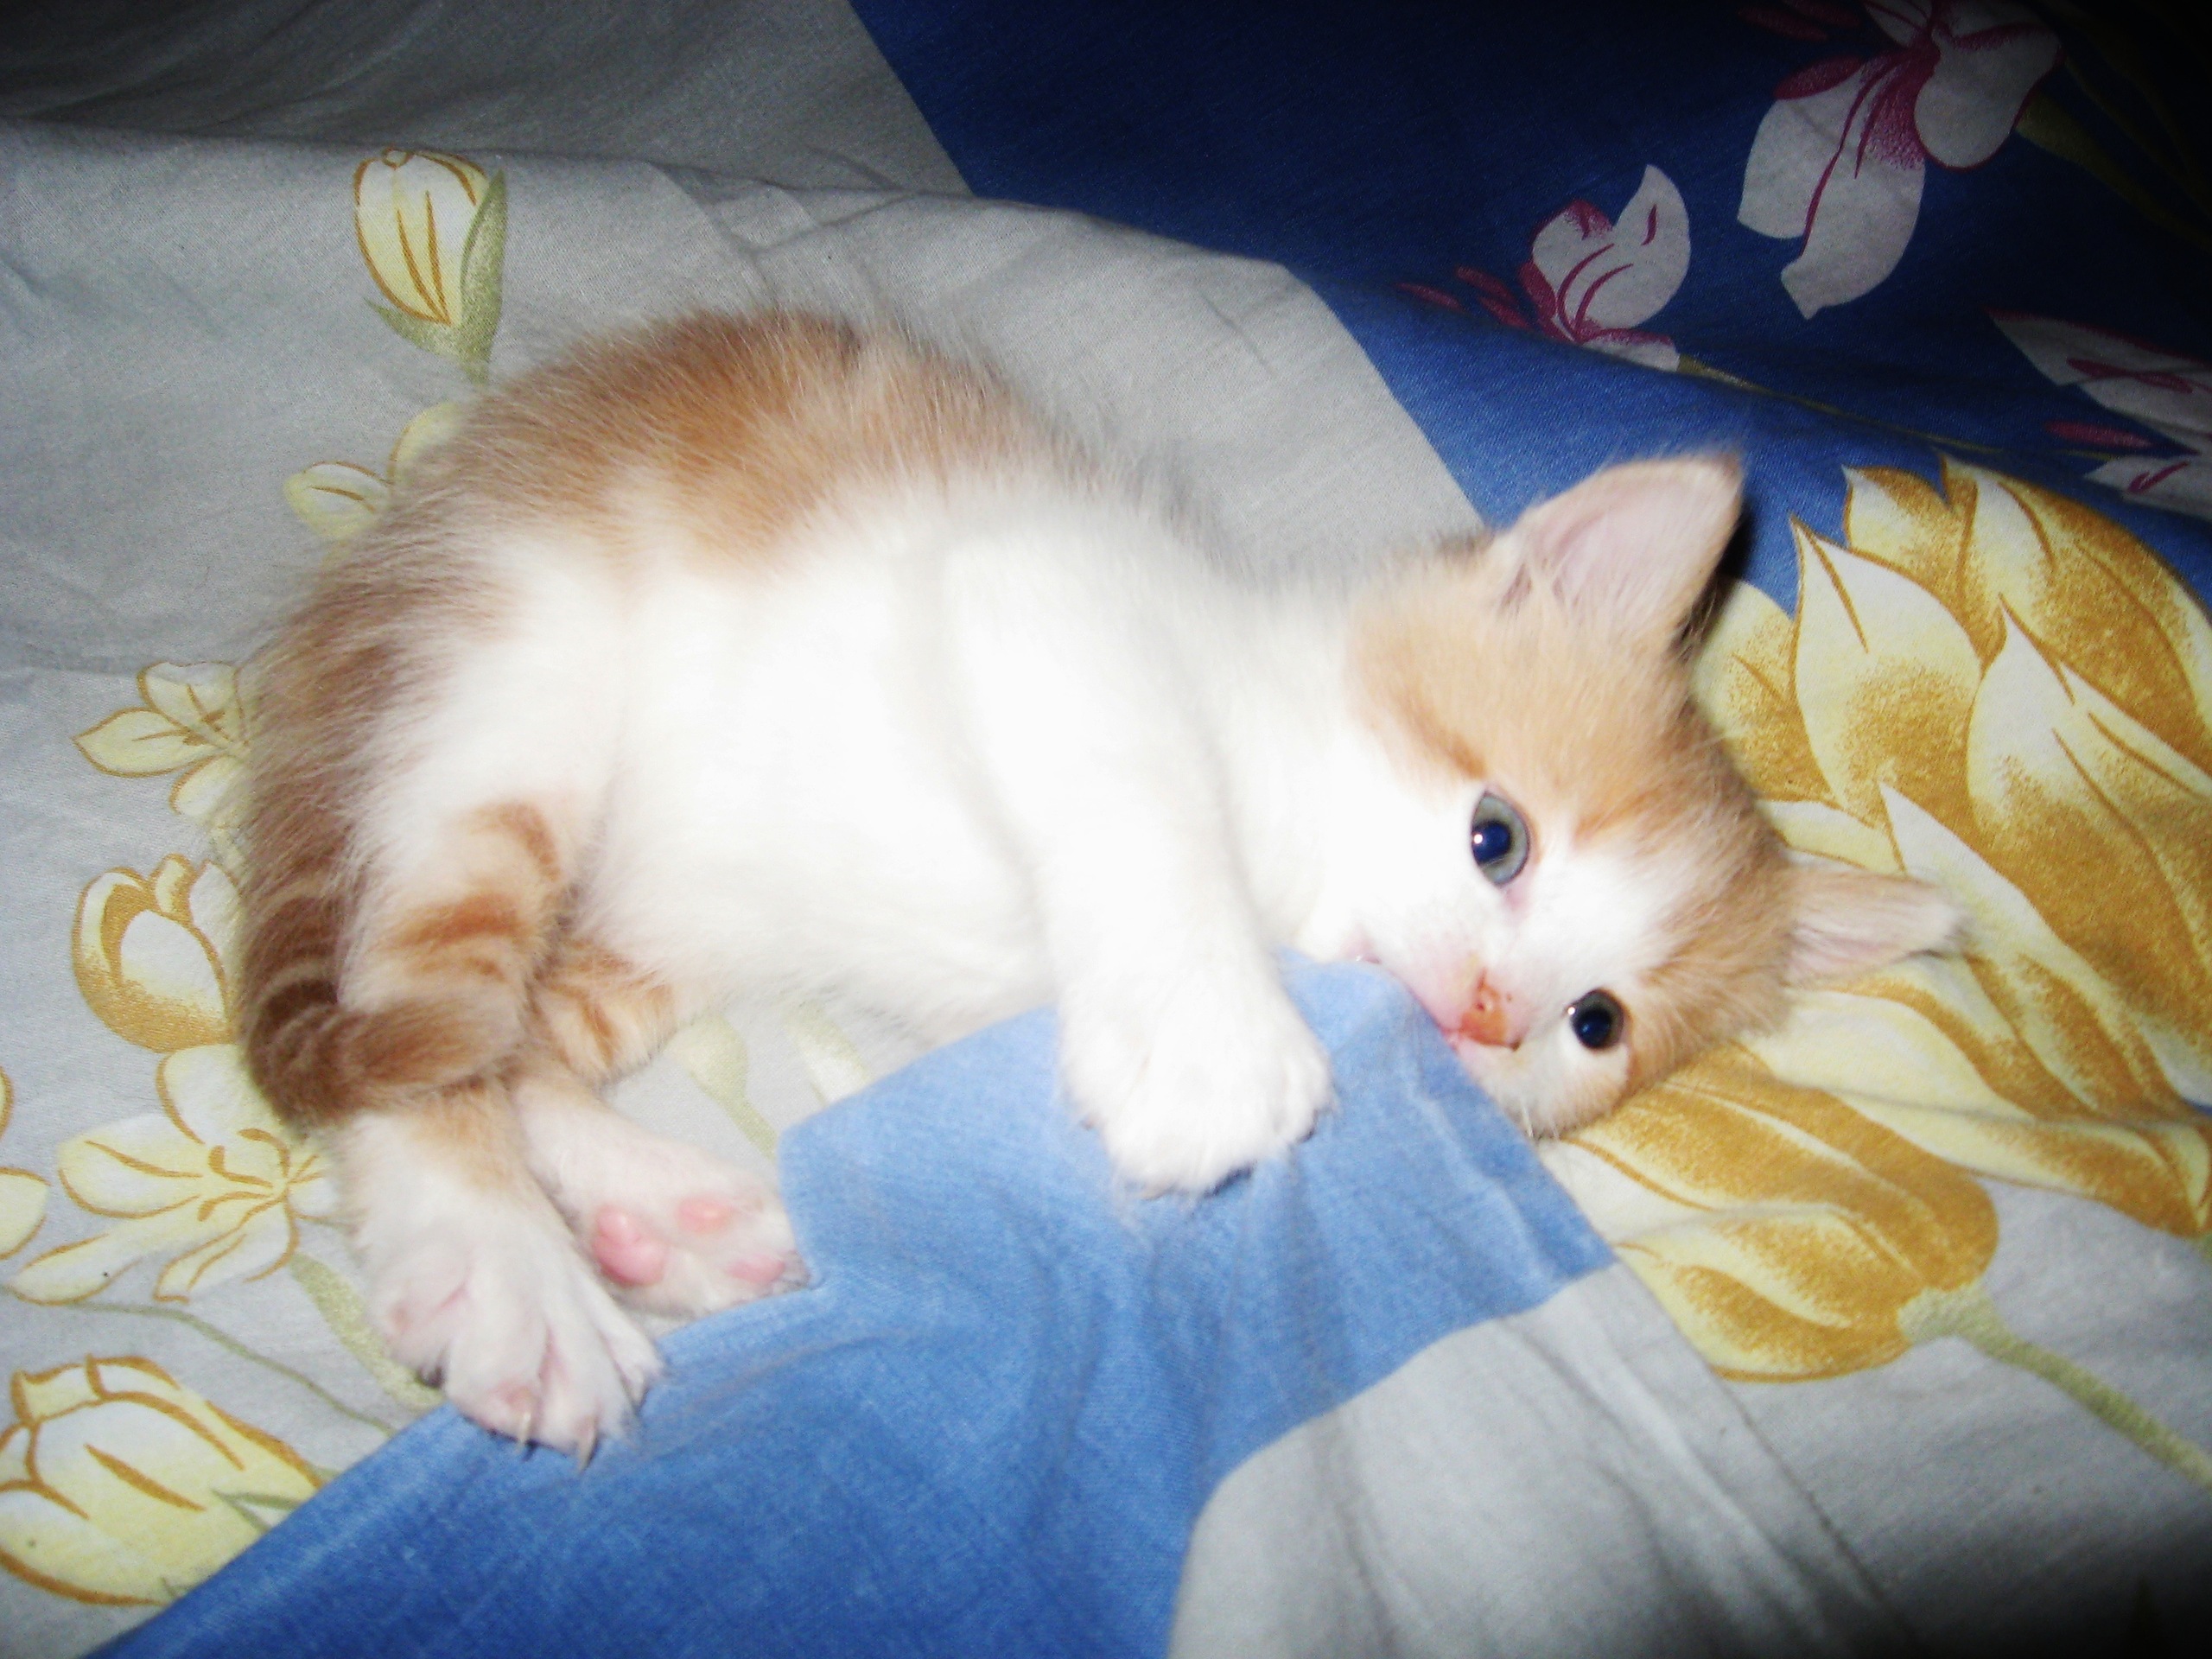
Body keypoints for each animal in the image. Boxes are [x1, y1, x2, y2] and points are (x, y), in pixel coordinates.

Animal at [237, 311, 1957, 1453]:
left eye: (1596, 1024)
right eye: (1498, 838)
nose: (1484, 1011)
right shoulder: (1046, 590)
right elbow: (1139, 786)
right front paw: (1211, 1049)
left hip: (645, 939)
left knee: (519, 1044)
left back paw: (670, 1222)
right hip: (509, 684)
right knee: (415, 1010)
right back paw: (505, 1271)